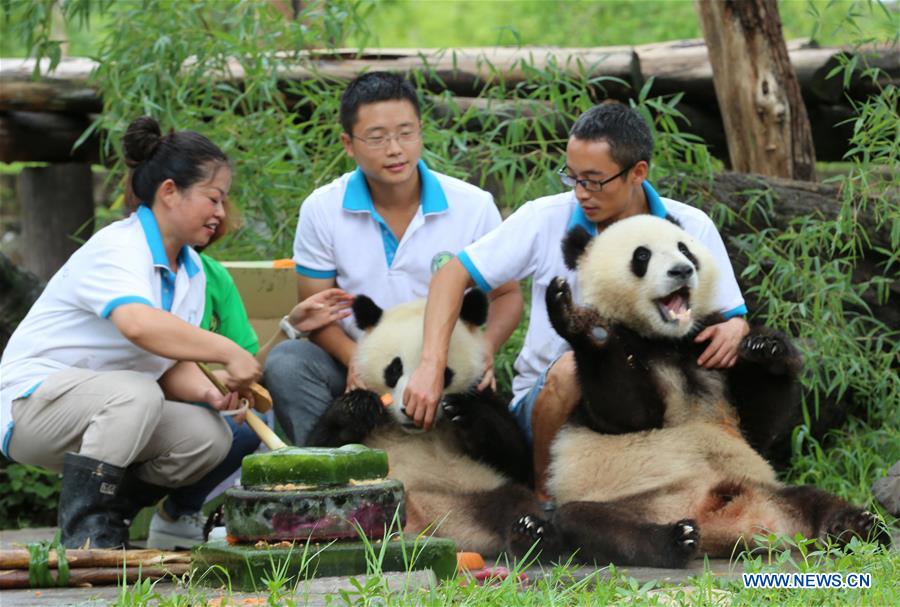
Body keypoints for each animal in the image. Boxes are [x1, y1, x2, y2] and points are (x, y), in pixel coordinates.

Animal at [307, 289, 538, 555]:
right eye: (394, 369)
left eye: (442, 373)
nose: (411, 409)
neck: (415, 431)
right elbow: (323, 450)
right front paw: (358, 406)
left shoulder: (486, 397)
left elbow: (515, 458)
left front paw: (462, 409)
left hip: (474, 489)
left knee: (515, 499)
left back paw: (531, 532)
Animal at [509, 214, 889, 568]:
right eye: (642, 255)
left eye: (684, 248)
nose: (682, 270)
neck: (670, 340)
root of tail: (728, 528)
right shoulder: (623, 355)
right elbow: (624, 413)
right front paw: (580, 322)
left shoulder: (710, 344)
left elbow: (758, 426)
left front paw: (768, 348)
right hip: (624, 500)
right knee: (592, 524)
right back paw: (671, 538)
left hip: (768, 488)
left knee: (815, 498)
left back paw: (859, 526)